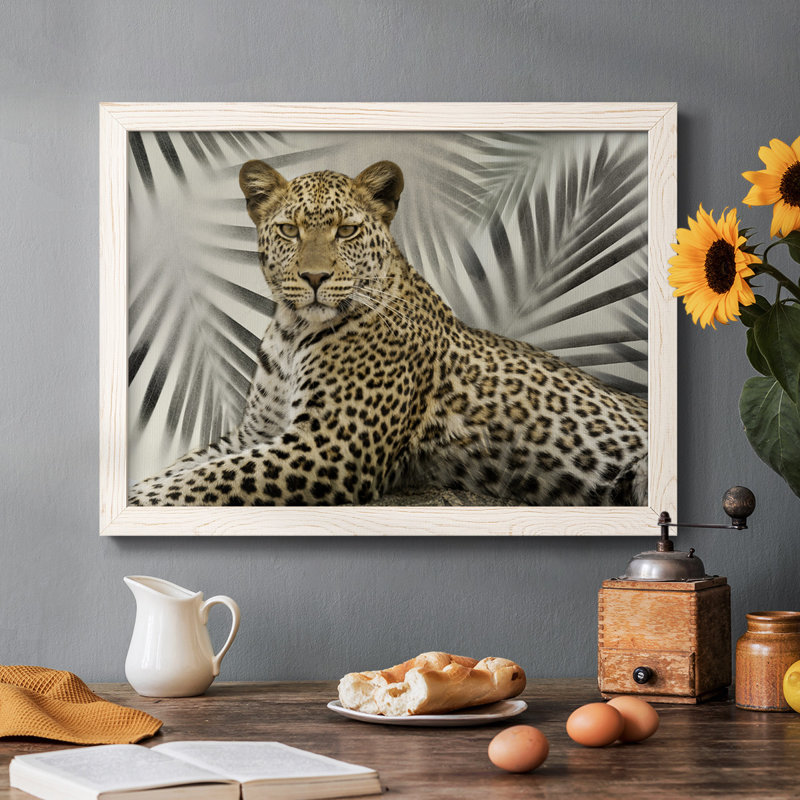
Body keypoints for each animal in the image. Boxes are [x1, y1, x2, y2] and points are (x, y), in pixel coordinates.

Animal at [128, 159, 647, 508]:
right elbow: (189, 466)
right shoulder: (256, 431)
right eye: (290, 230)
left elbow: (204, 479)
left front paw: (138, 500)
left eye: (347, 231)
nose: (314, 277)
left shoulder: (331, 446)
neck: (293, 331)